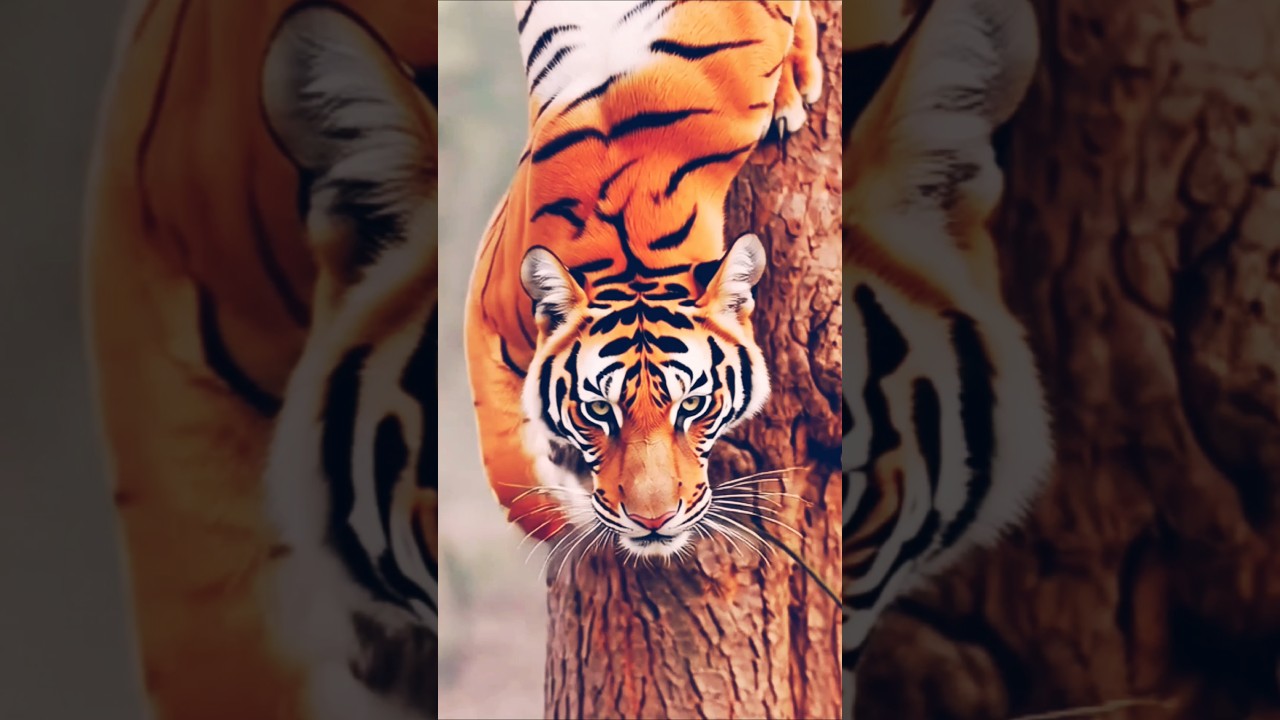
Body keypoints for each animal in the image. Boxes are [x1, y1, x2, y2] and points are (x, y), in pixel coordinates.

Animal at [463, 0, 824, 563]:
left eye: (693, 405)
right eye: (597, 410)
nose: (652, 521)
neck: (632, 251)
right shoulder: (484, 307)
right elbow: (508, 470)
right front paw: (568, 508)